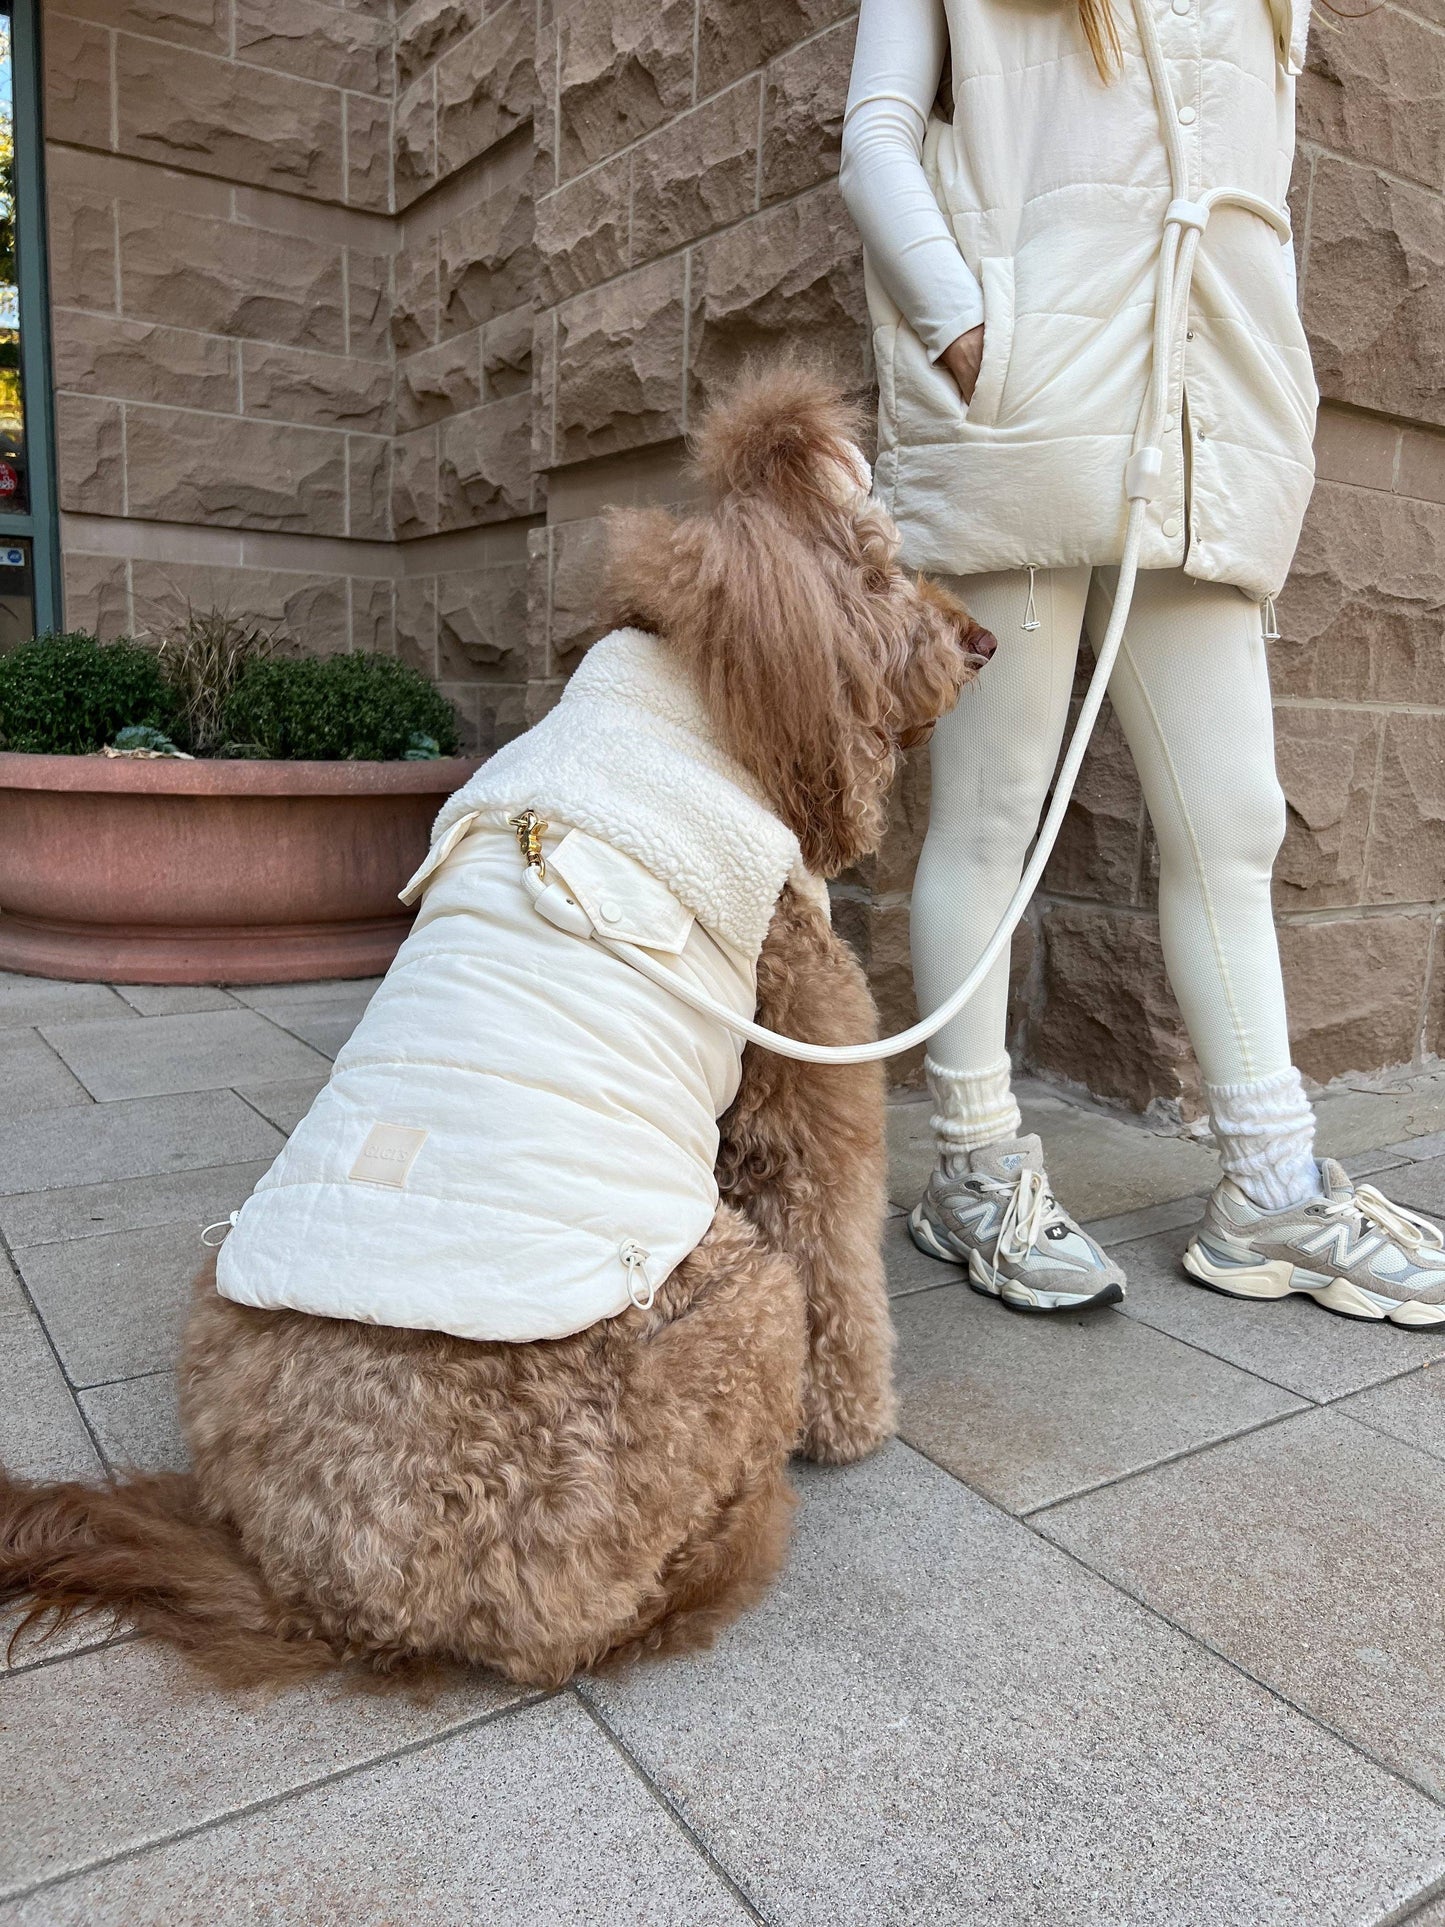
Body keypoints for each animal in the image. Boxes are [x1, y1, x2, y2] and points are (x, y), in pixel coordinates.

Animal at [0, 368, 994, 1695]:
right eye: (882, 576)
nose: (983, 638)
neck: (689, 703)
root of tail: (337, 1601)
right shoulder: (805, 1055)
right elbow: (836, 1247)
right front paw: (854, 1423)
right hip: (737, 1300)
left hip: (221, 1321)